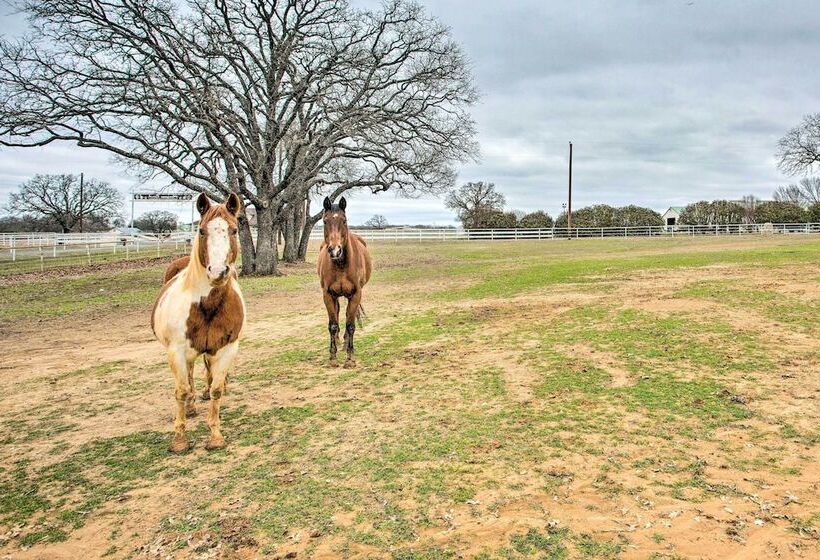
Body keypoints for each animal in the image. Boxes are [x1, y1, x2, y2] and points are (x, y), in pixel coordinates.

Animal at [151, 192, 246, 453]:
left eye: (234, 230)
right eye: (202, 231)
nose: (218, 272)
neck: (207, 305)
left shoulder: (226, 347)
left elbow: (216, 389)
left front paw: (216, 436)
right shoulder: (176, 350)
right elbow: (181, 391)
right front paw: (179, 440)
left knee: (206, 373)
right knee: (190, 376)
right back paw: (192, 406)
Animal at [317, 196, 372, 368]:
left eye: (344, 220)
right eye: (325, 221)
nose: (335, 250)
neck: (341, 265)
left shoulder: (355, 294)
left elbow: (351, 324)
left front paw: (350, 358)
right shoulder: (328, 295)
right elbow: (333, 325)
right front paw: (333, 357)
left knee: (350, 317)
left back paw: (346, 344)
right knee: (338, 313)